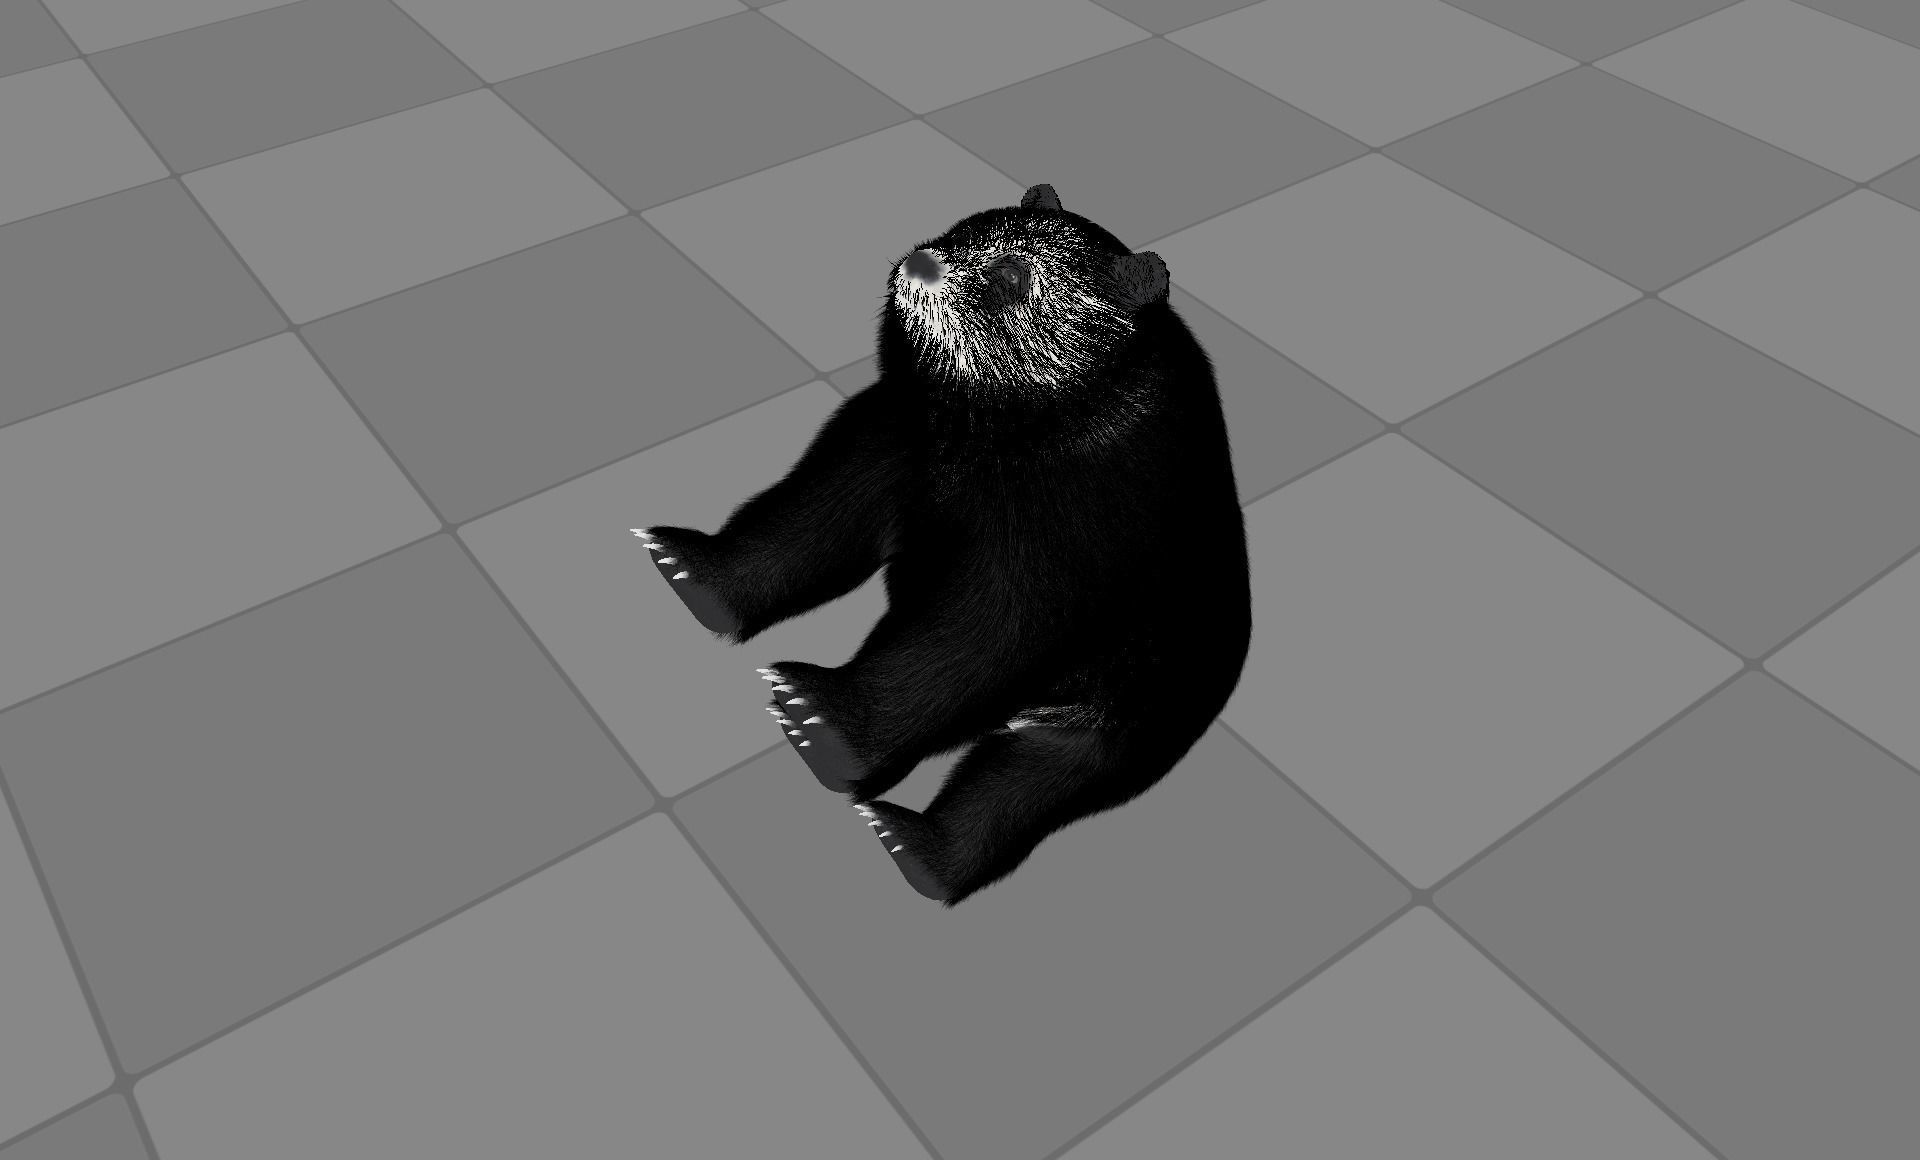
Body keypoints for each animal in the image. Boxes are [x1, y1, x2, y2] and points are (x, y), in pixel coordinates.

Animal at [637, 184, 1250, 906]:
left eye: (1013, 276)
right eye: (964, 229)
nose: (922, 263)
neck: (1004, 422)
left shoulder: (1089, 508)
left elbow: (989, 625)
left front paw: (818, 717)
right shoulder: (908, 433)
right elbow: (822, 509)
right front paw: (688, 567)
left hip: (1143, 688)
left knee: (1038, 773)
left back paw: (912, 843)